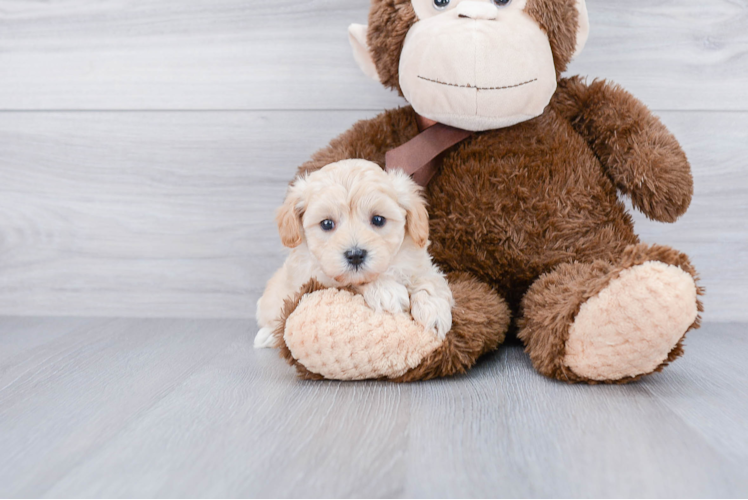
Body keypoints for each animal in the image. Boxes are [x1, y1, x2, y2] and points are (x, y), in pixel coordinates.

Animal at [256, 159, 456, 348]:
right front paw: (386, 290)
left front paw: (433, 310)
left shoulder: (420, 264)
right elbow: (351, 283)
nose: (355, 255)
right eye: (327, 224)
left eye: (378, 219)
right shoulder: (316, 278)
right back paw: (267, 335)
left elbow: (430, 282)